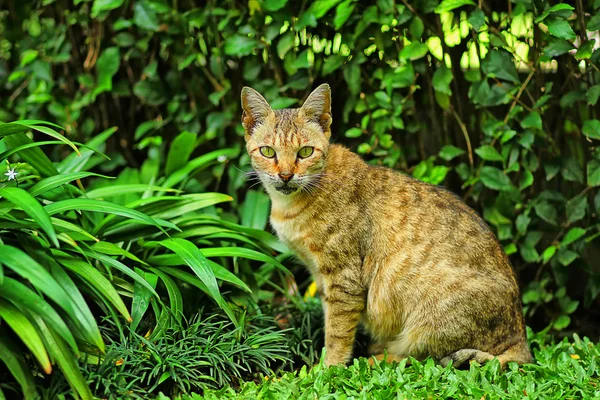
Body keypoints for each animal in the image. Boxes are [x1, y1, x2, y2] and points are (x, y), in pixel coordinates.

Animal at [239, 83, 528, 368]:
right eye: (268, 151)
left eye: (305, 152)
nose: (286, 175)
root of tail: (521, 340)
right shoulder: (320, 275)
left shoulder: (343, 277)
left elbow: (337, 331)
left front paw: (329, 368)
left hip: (427, 317)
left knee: (419, 357)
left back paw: (375, 358)